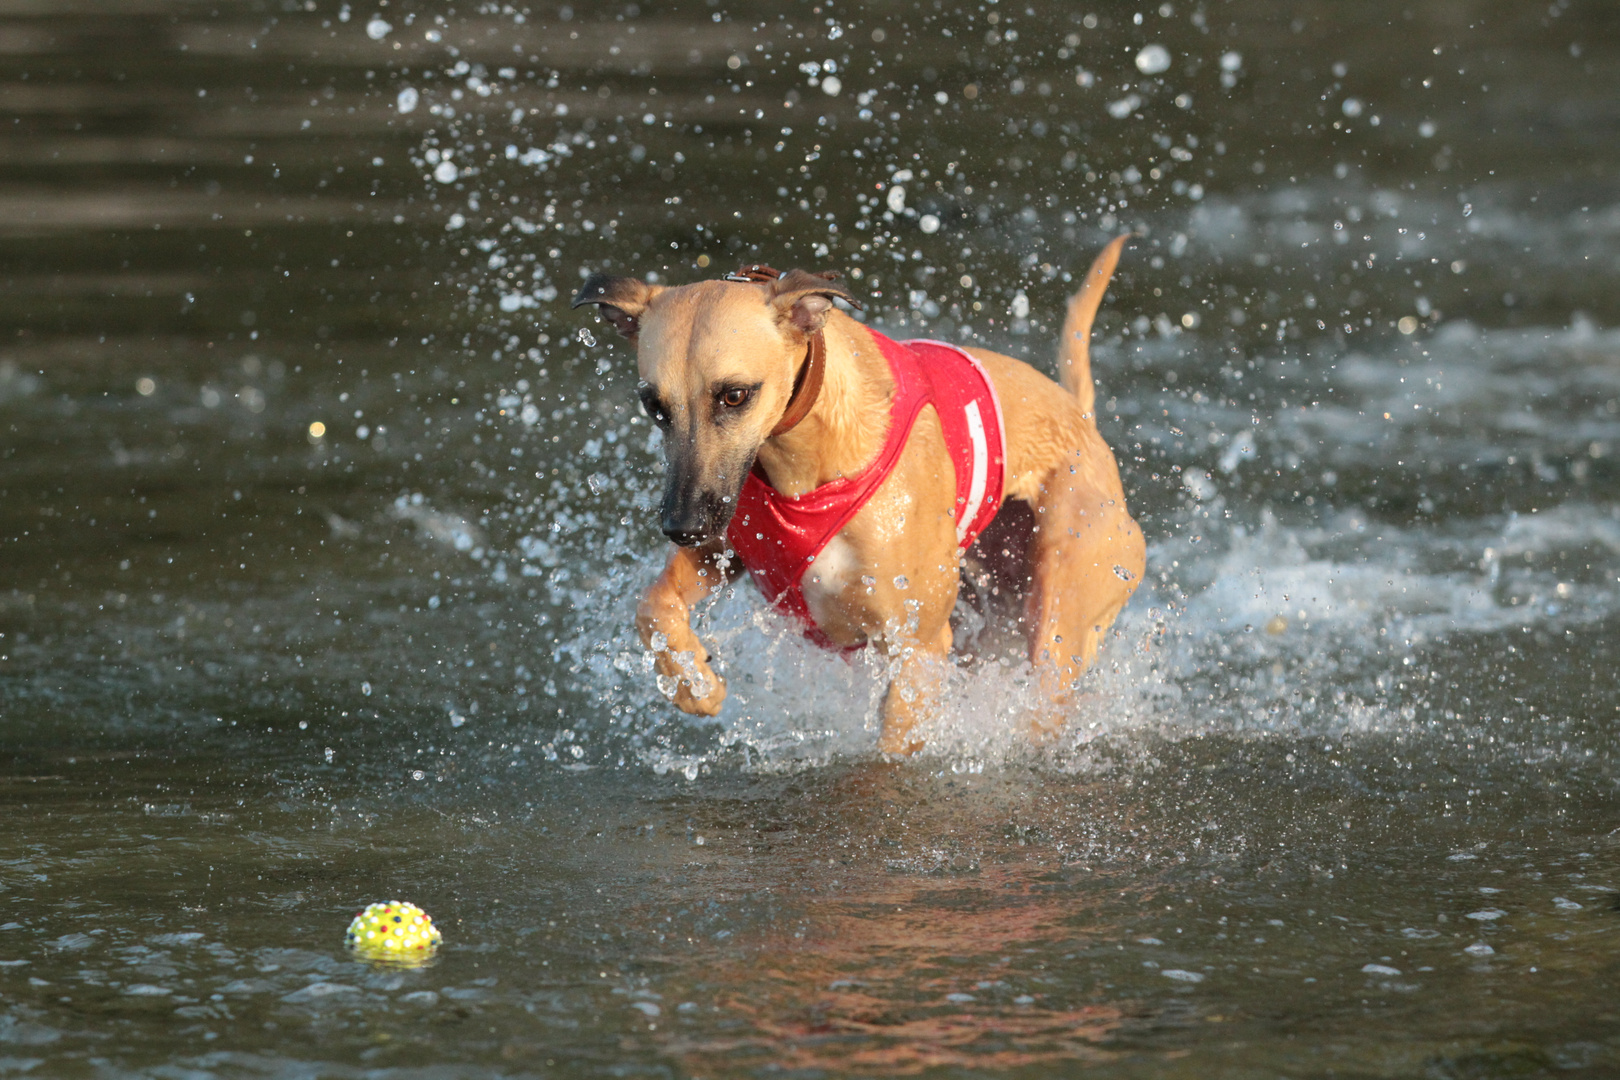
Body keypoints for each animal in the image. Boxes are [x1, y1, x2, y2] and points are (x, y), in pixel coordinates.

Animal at [576, 238, 1146, 757]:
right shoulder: (729, 548)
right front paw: (693, 682)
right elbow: (653, 605)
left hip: (1058, 614)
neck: (808, 464)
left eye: (734, 395)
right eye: (654, 406)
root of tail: (1084, 420)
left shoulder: (917, 649)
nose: (683, 527)